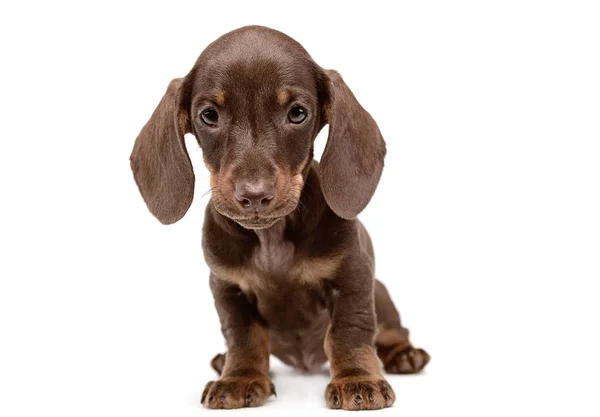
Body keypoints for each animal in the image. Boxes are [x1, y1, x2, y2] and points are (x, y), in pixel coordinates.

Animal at [132, 24, 432, 408]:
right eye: (209, 115)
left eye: (298, 113)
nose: (254, 196)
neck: (271, 238)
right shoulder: (227, 287)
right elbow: (244, 338)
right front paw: (240, 377)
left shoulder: (352, 276)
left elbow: (349, 331)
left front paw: (356, 379)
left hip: (381, 293)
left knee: (393, 329)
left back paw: (403, 354)